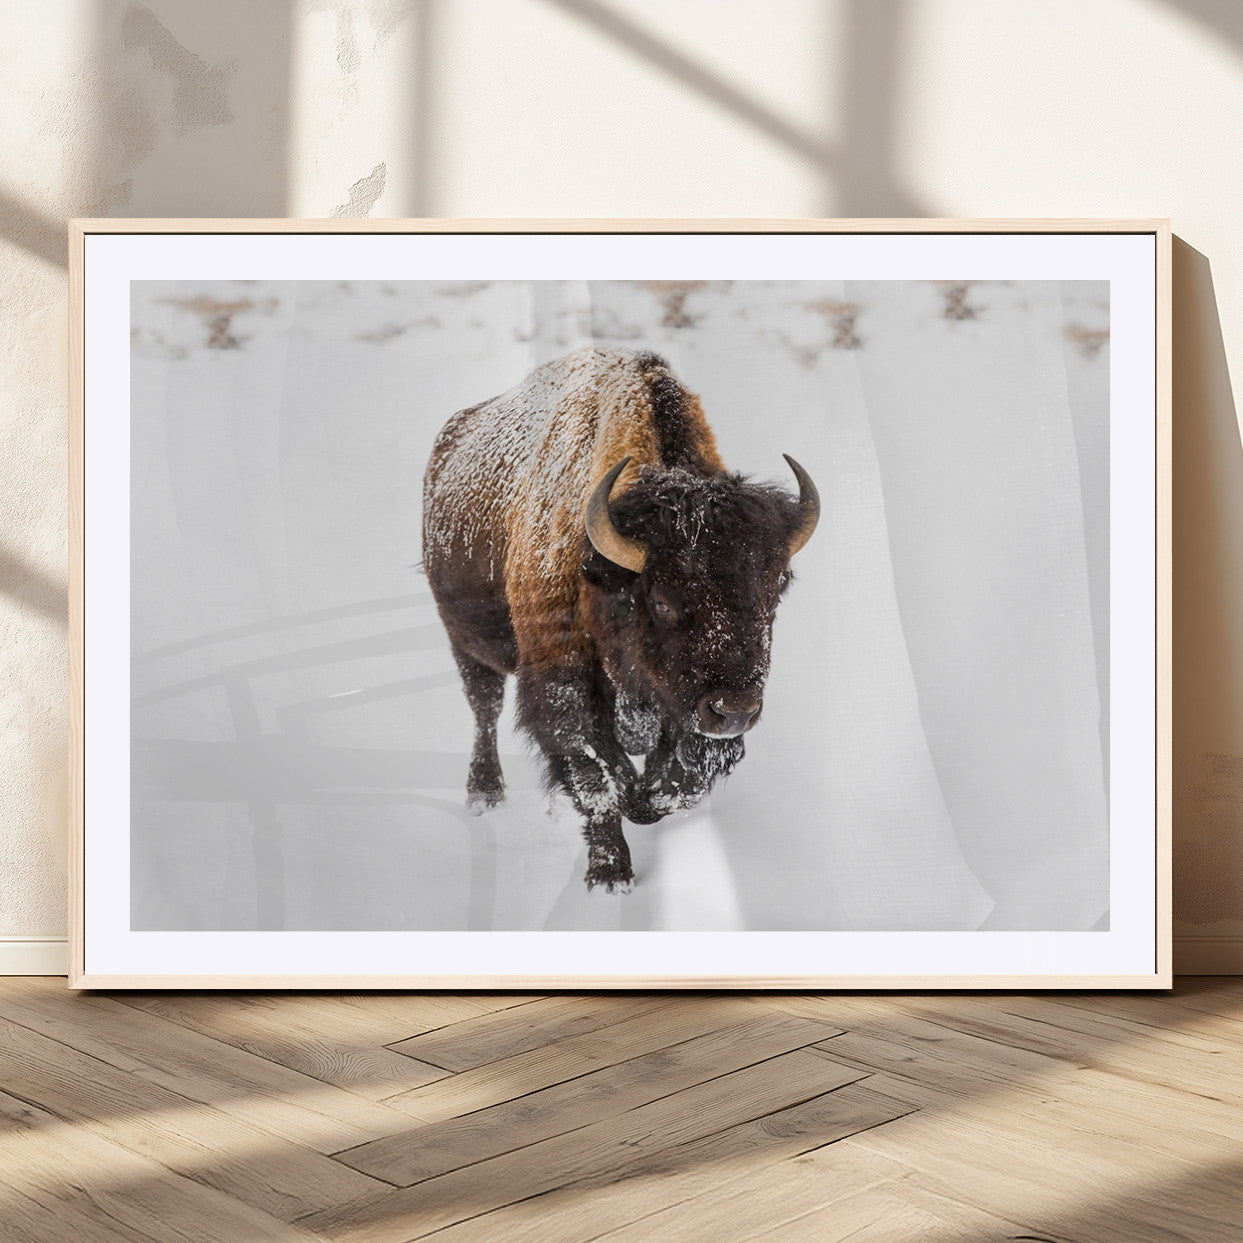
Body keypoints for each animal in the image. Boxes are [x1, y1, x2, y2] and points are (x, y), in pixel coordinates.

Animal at [423, 346, 818, 891]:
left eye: (775, 592)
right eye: (663, 601)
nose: (735, 710)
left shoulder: (686, 713)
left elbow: (677, 782)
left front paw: (644, 800)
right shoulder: (562, 689)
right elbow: (598, 780)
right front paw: (610, 876)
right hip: (466, 643)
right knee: (484, 708)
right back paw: (484, 794)